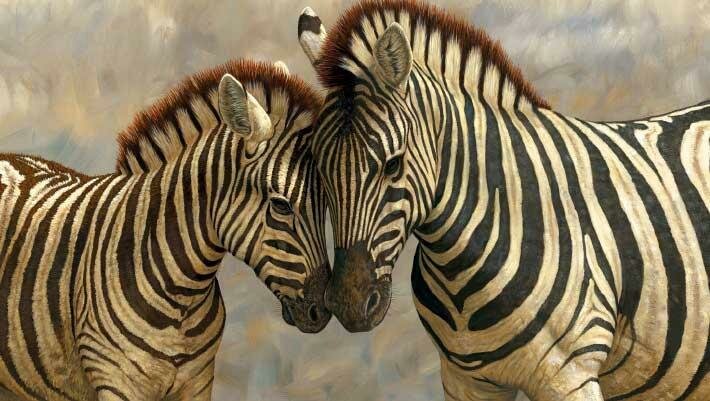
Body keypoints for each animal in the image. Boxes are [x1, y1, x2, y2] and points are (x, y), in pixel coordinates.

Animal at [0, 59, 331, 401]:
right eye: (281, 205)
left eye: (328, 203)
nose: (322, 311)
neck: (184, 296)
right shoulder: (117, 383)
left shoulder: (198, 383)